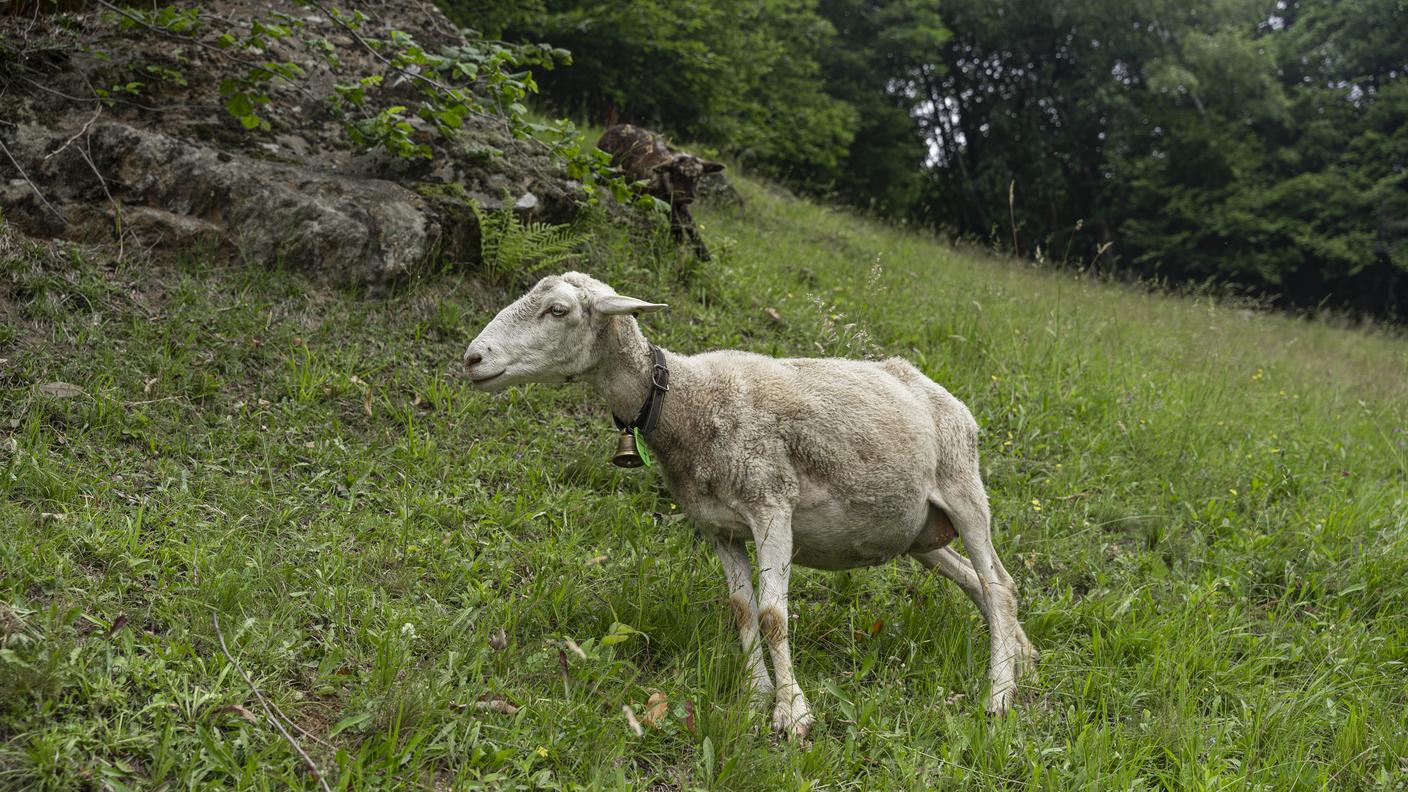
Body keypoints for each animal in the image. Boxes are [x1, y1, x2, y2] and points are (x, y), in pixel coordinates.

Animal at [461, 272, 1035, 738]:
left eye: (558, 310)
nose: (471, 359)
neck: (682, 401)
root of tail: (944, 394)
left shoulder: (771, 507)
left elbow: (772, 614)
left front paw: (792, 714)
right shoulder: (719, 529)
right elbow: (741, 611)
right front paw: (757, 696)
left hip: (963, 488)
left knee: (1000, 585)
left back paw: (999, 695)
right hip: (917, 531)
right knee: (977, 581)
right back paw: (1023, 657)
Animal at [597, 124, 724, 260]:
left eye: (698, 177)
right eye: (676, 174)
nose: (689, 197)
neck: (666, 182)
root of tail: (616, 126)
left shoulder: (679, 204)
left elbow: (691, 226)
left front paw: (704, 256)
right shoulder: (664, 201)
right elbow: (677, 227)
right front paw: (674, 252)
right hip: (605, 170)